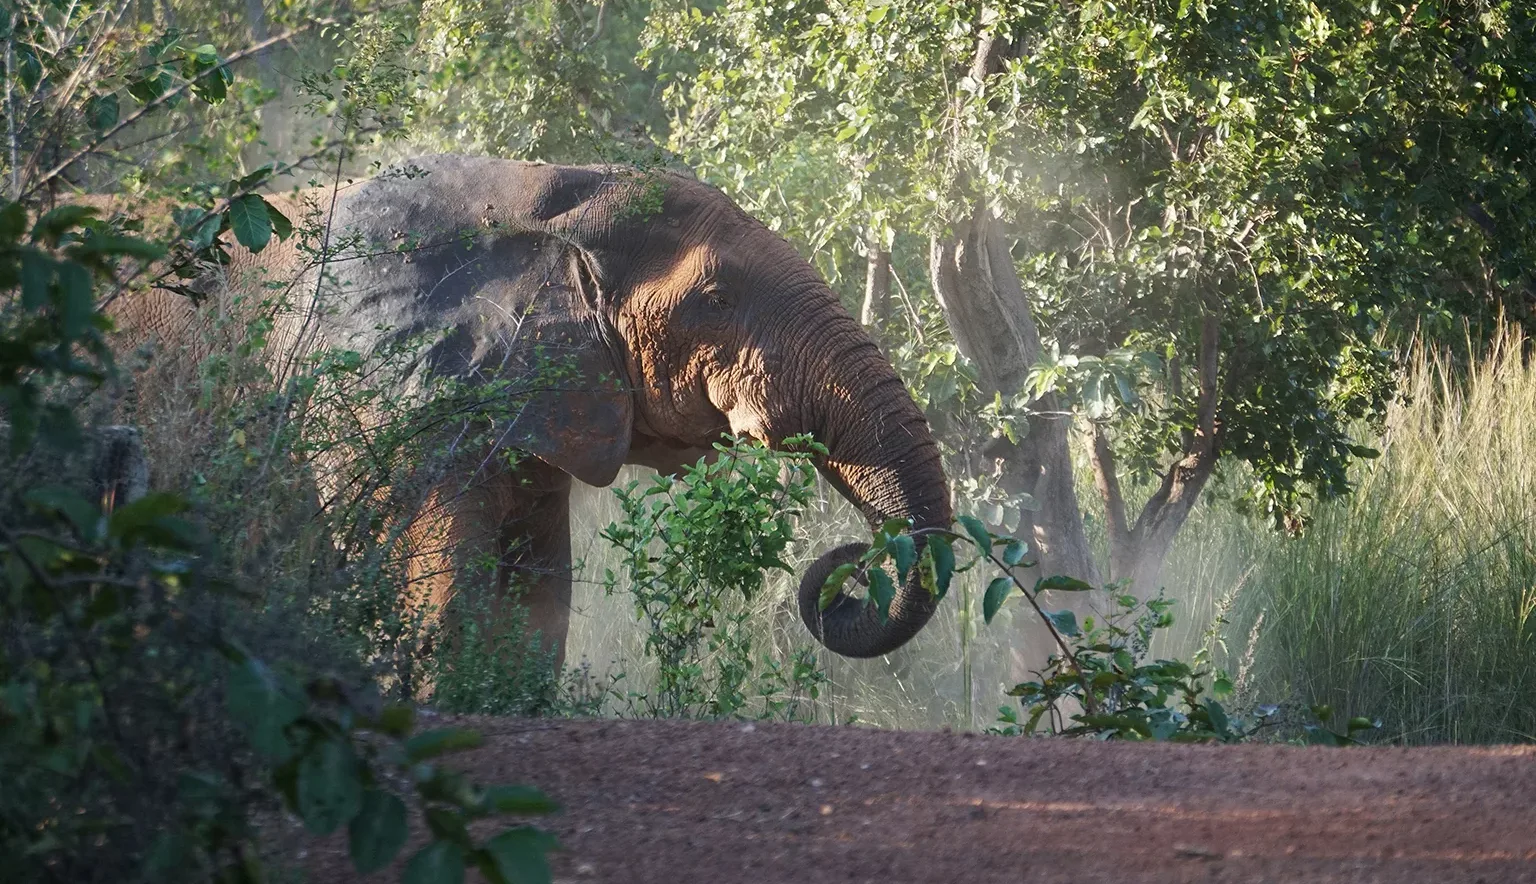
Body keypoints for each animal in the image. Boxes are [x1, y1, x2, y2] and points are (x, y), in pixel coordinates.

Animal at [105, 154, 953, 667]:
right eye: (716, 302)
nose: (846, 573)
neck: (540, 198)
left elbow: (534, 614)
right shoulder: (381, 405)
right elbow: (441, 609)